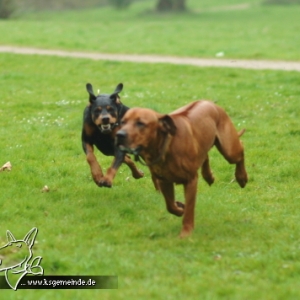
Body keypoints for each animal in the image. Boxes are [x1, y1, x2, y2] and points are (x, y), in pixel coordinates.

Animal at [116, 101, 247, 237]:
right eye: (123, 122)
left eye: (140, 123)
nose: (119, 135)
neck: (166, 145)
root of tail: (211, 102)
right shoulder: (164, 181)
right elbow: (170, 206)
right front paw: (179, 209)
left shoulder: (190, 181)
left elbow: (189, 208)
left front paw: (186, 232)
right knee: (205, 155)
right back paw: (208, 176)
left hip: (229, 149)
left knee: (241, 148)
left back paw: (241, 177)